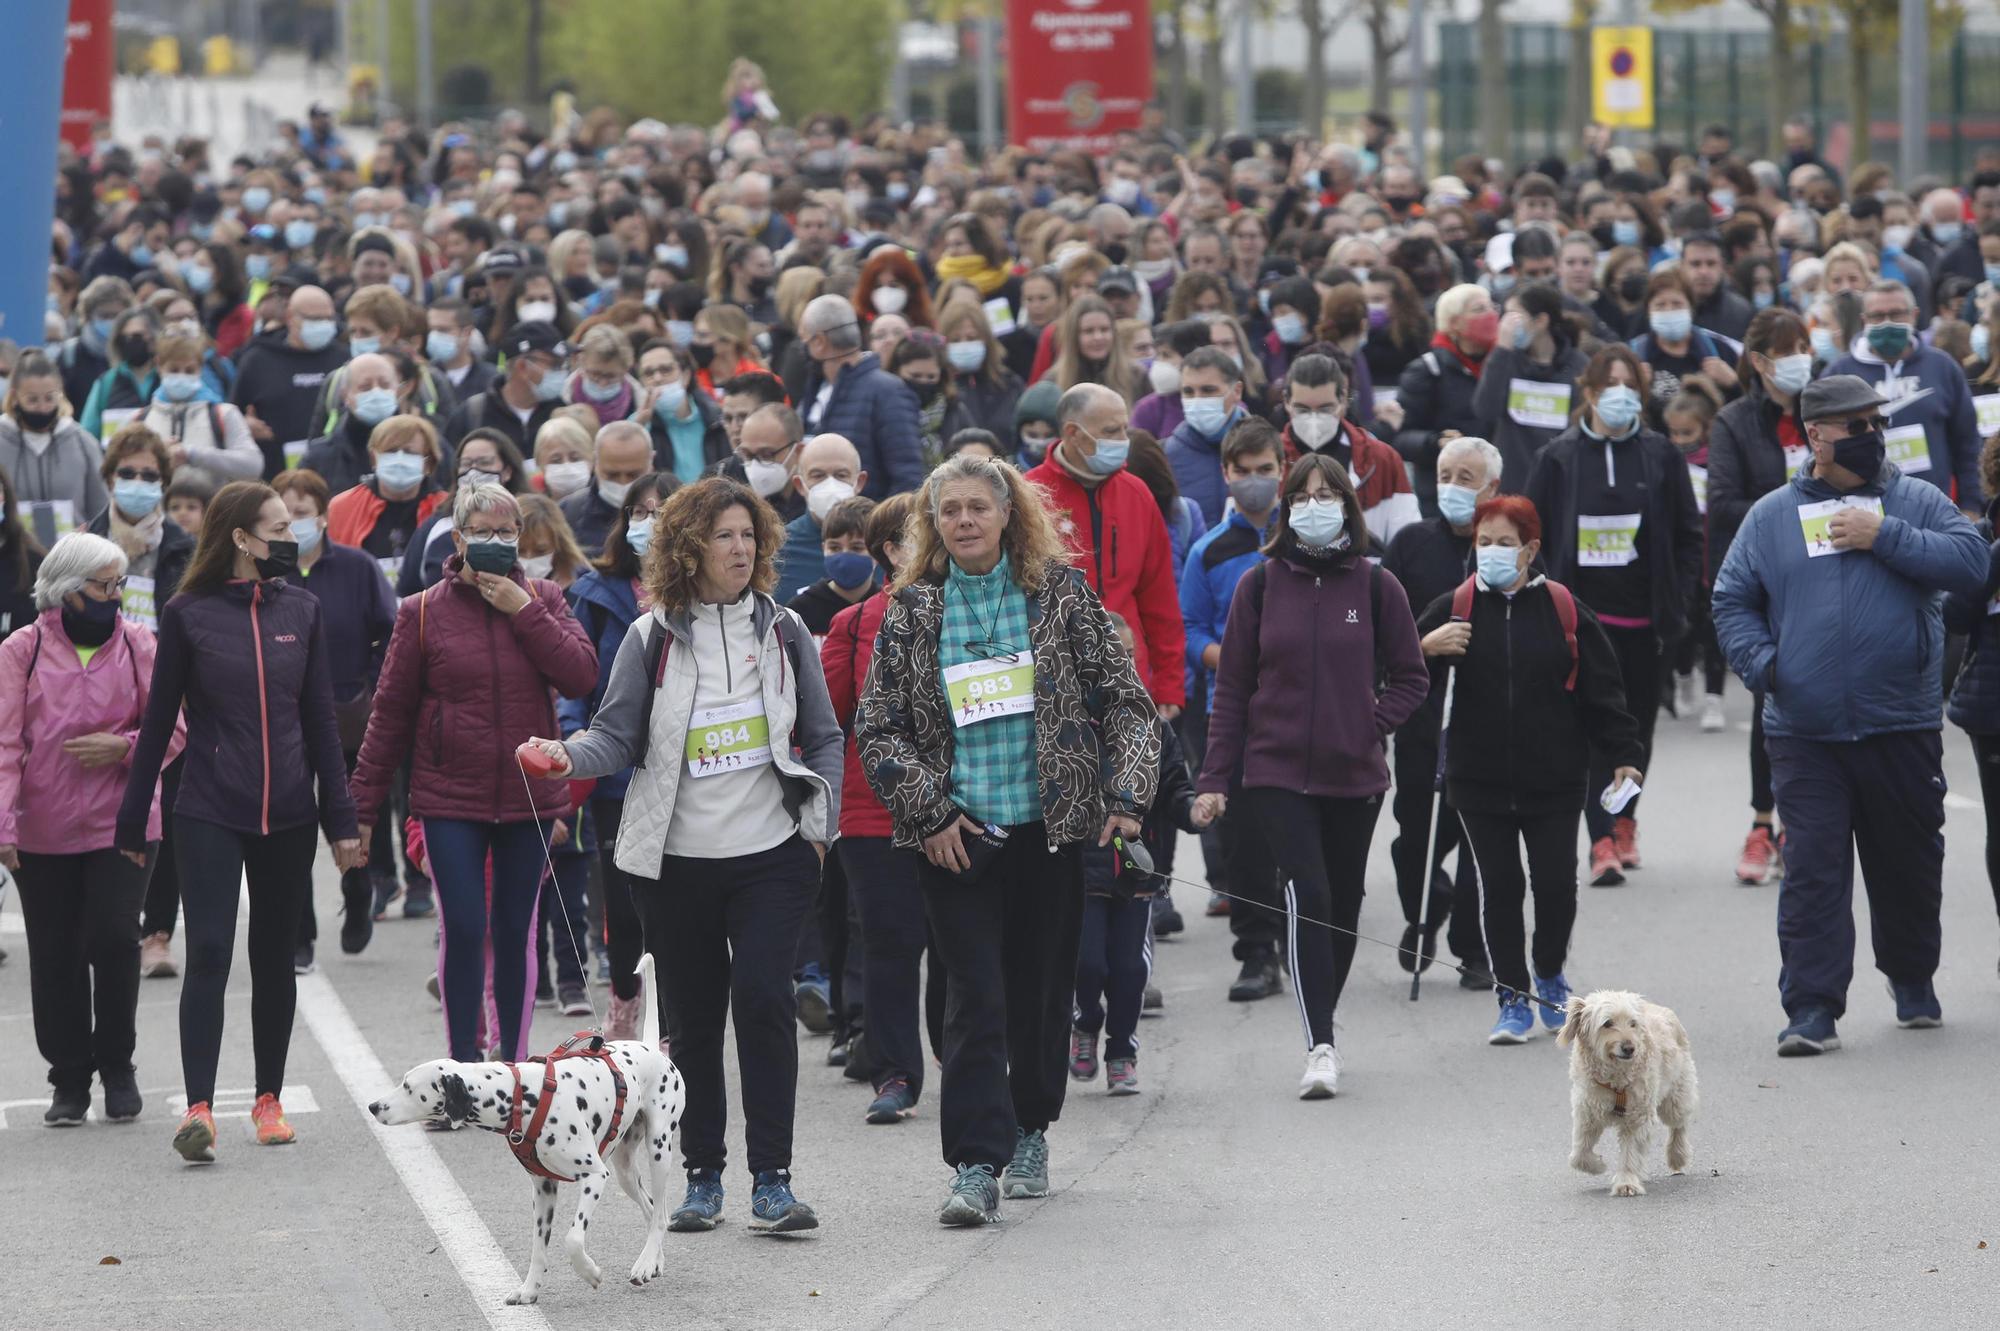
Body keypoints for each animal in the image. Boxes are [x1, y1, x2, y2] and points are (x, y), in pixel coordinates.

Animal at [370, 947, 688, 1303]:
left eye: (408, 1087)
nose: (373, 1106)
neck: (520, 1093)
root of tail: (651, 1047)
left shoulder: (594, 1176)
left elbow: (572, 1239)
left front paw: (589, 1273)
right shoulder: (543, 1189)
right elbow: (538, 1249)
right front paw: (529, 1290)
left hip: (658, 1150)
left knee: (659, 1215)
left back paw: (645, 1263)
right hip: (624, 1170)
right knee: (653, 1210)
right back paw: (652, 1262)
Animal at [1552, 983, 1696, 1191]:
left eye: (1632, 1023)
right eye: (1607, 1023)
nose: (1629, 1048)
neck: (1615, 1078)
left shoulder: (1638, 1116)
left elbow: (1630, 1152)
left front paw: (1627, 1182)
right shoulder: (1587, 1112)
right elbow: (1578, 1155)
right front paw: (1597, 1165)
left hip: (1676, 1098)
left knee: (1679, 1125)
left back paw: (1677, 1155)